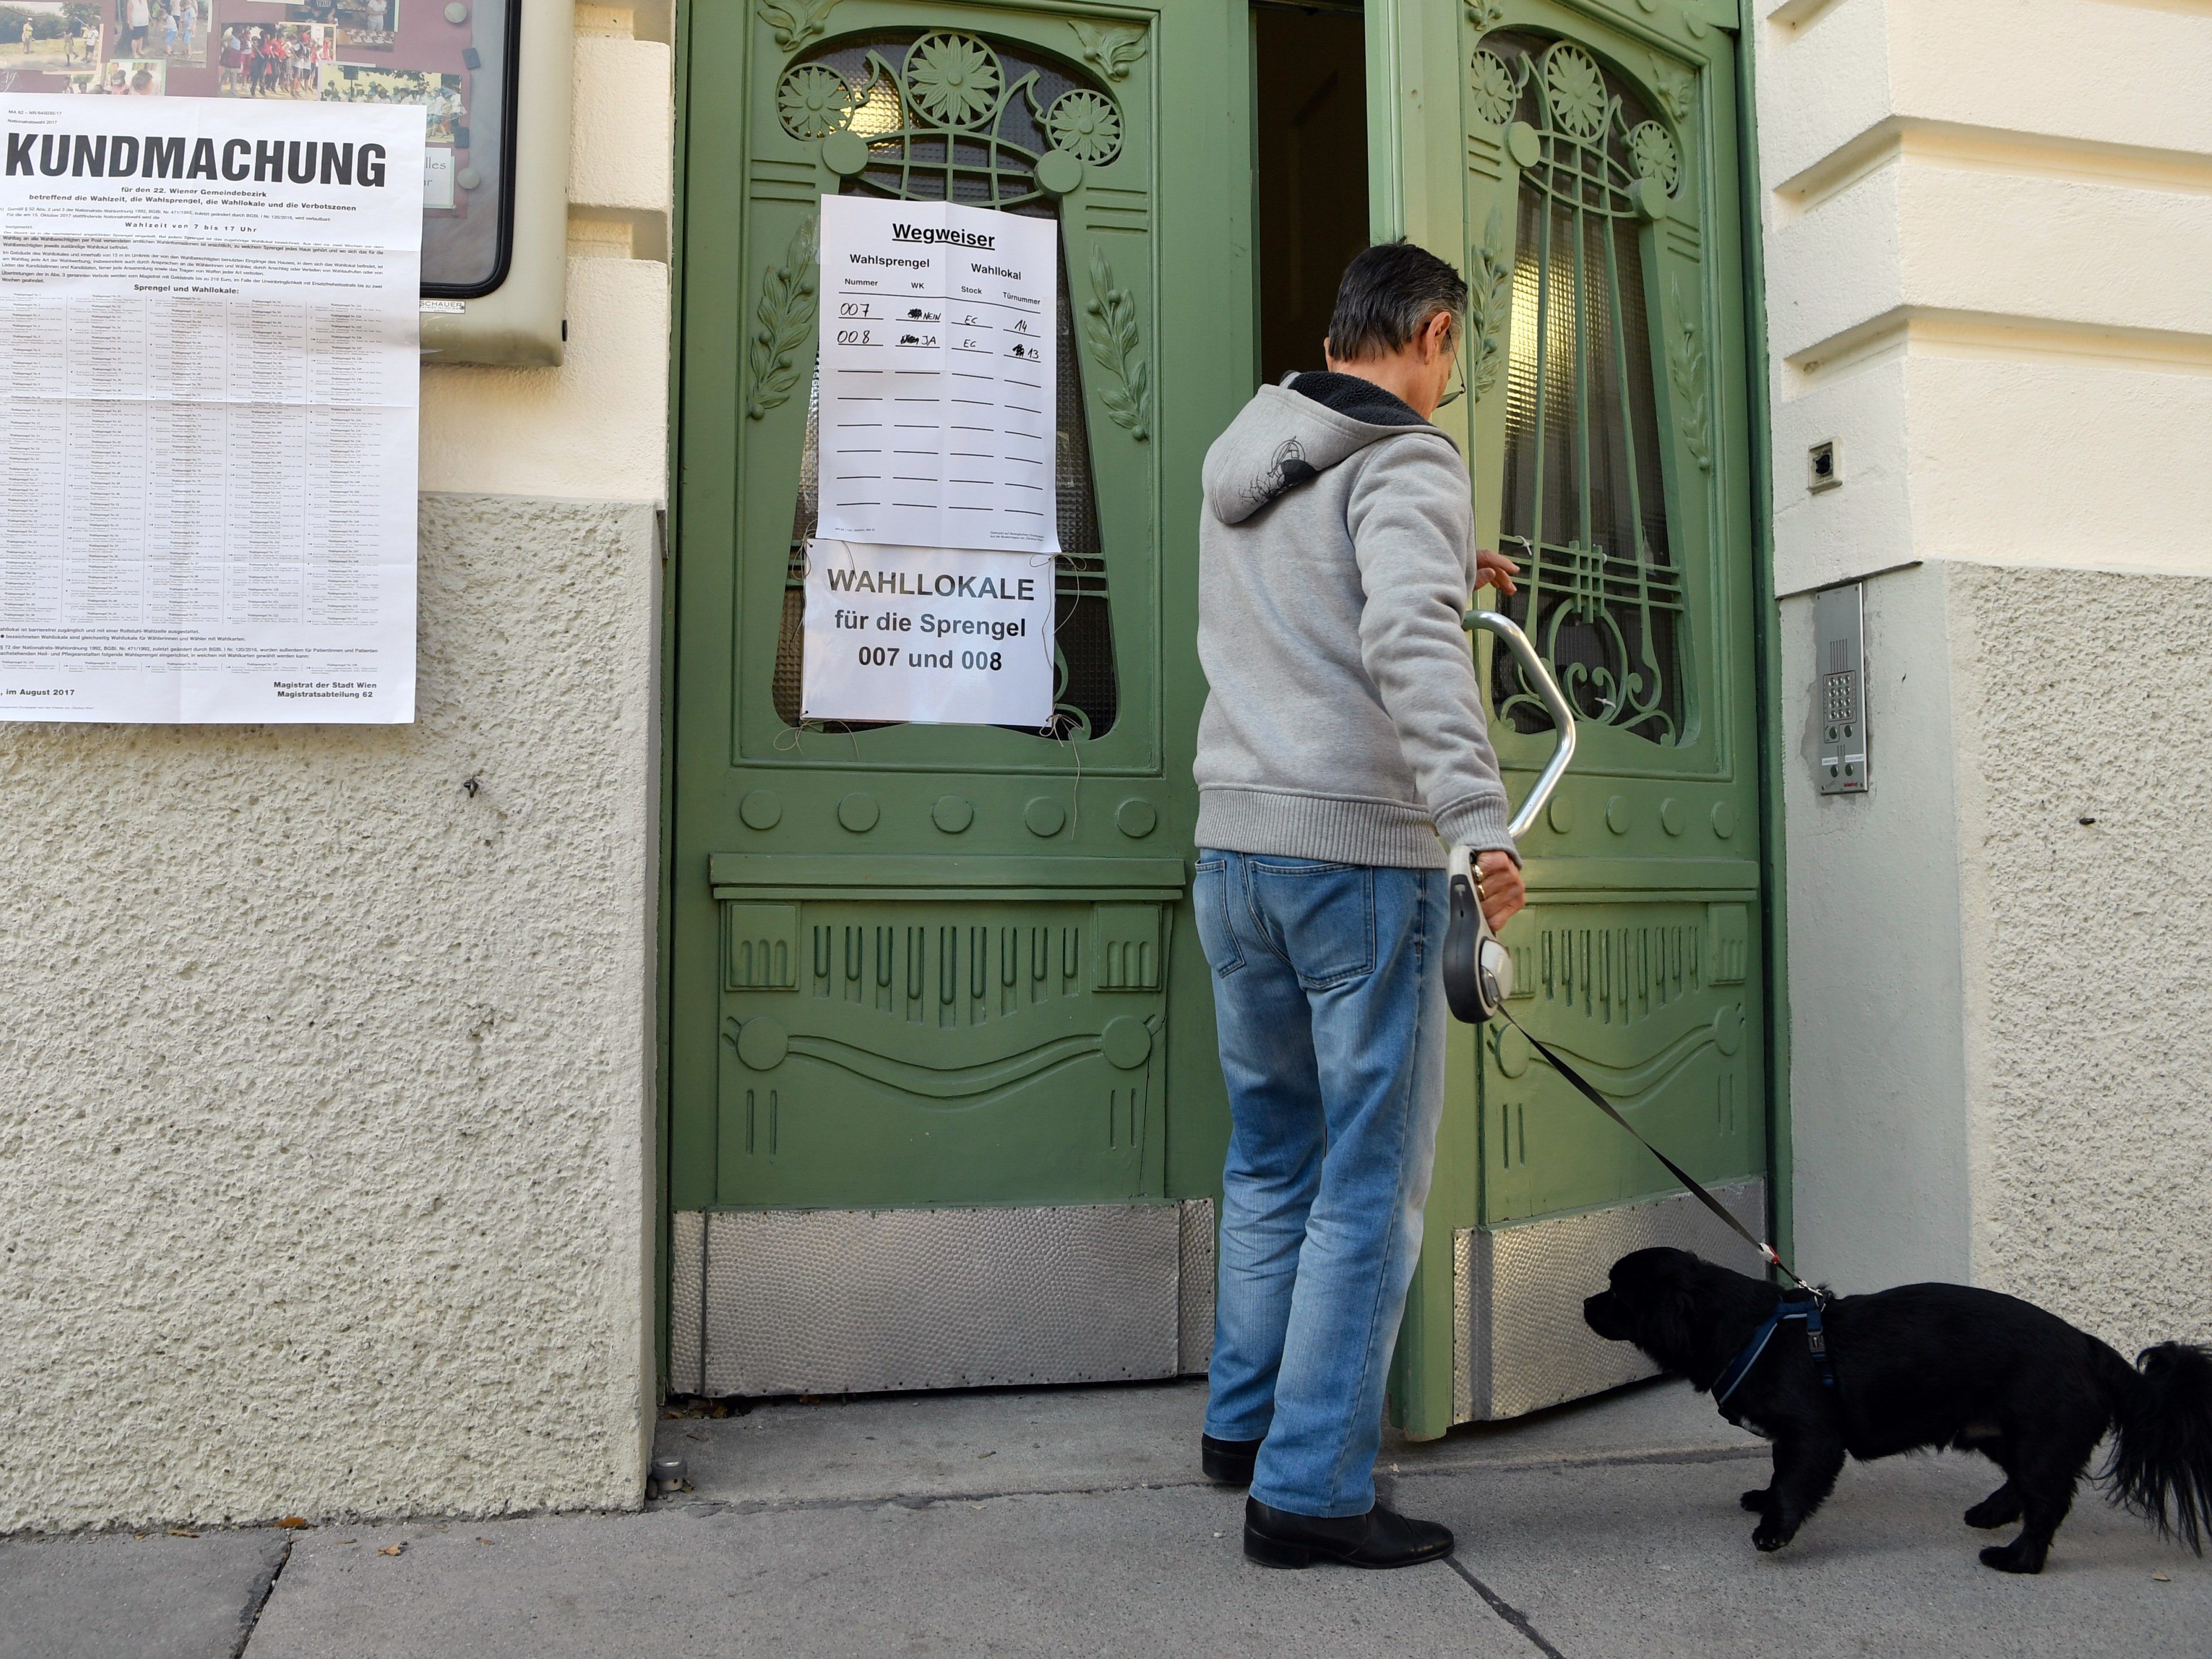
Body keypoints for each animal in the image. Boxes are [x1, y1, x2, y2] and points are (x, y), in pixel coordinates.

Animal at [1583, 1256, 2212, 1575]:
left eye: (1614, 1290)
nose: (1585, 1303)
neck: (1747, 1327)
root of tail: (2089, 1345)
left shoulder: (1814, 1436)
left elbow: (1793, 1483)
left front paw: (1773, 1529)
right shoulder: (1790, 1438)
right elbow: (1777, 1473)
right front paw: (1762, 1500)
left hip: (2040, 1440)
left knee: (2046, 1504)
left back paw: (2018, 1559)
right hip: (2001, 1434)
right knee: (2023, 1487)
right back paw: (1991, 1513)